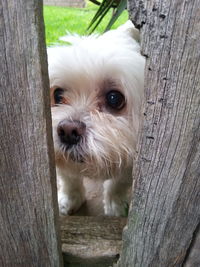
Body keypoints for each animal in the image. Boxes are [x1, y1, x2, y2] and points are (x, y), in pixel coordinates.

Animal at [47, 21, 145, 218]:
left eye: (114, 98)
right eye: (58, 94)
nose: (68, 131)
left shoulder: (129, 163)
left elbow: (117, 185)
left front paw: (115, 207)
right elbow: (69, 180)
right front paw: (69, 200)